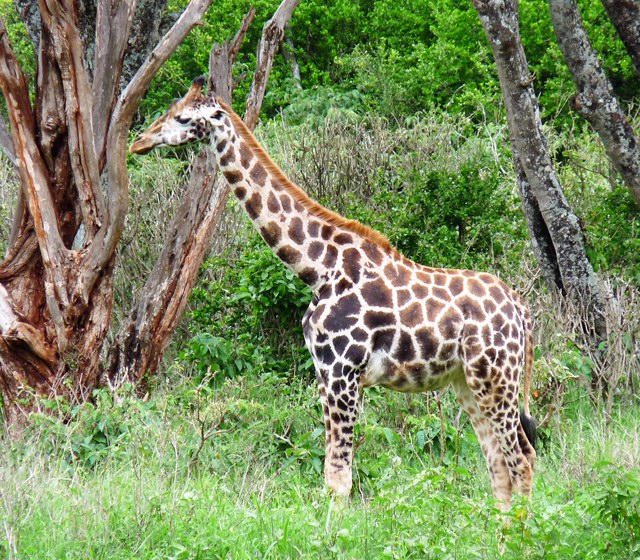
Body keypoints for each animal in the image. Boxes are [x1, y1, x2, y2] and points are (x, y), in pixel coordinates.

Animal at [130, 77, 537, 509]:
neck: (317, 268)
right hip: (468, 380)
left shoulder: (342, 370)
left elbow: (338, 477)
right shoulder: (325, 373)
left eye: (182, 118)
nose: (139, 142)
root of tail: (522, 310)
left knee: (522, 459)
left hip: (497, 376)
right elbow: (333, 472)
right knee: (499, 465)